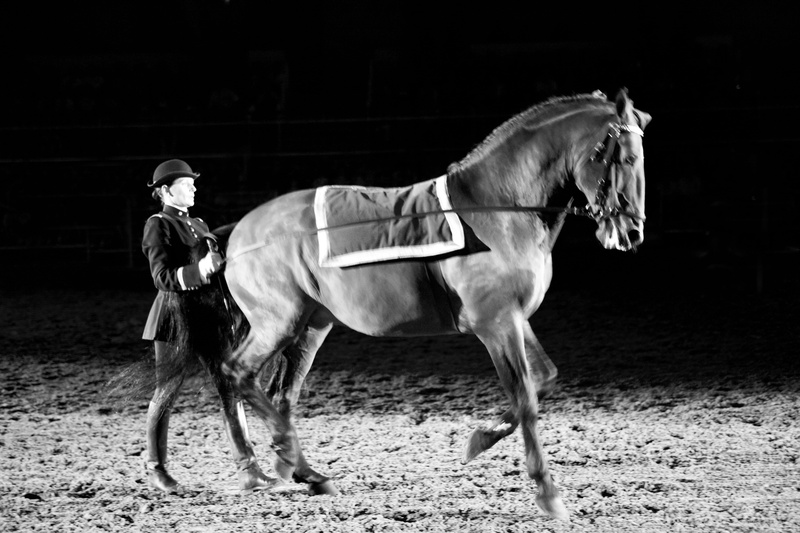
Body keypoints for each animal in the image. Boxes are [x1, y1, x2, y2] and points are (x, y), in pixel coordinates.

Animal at [120, 88, 650, 521]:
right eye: (620, 155)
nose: (629, 232)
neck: (495, 207)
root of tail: (232, 236)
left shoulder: (514, 319)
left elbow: (542, 381)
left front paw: (480, 438)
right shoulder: (496, 322)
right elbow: (527, 399)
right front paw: (547, 494)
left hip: (311, 326)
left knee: (279, 393)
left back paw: (289, 468)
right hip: (278, 322)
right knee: (238, 375)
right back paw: (290, 466)